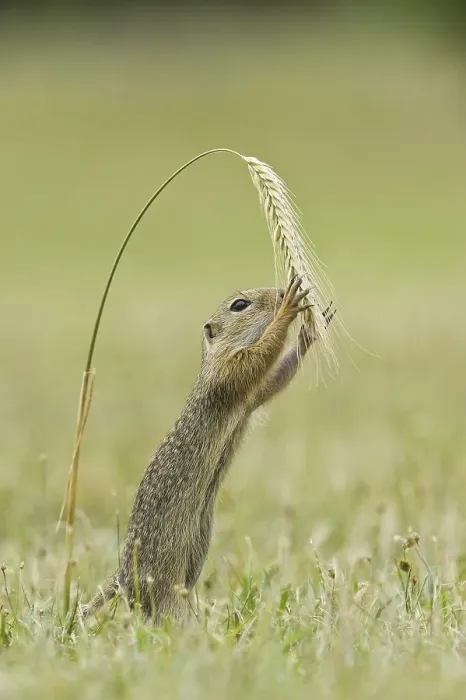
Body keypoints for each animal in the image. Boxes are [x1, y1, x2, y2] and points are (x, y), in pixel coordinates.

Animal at [81, 276, 334, 624]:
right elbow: (257, 358)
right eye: (239, 304)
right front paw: (289, 307)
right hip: (164, 586)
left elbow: (270, 381)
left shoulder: (248, 397)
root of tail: (121, 578)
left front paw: (309, 331)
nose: (281, 292)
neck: (215, 355)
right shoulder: (228, 372)